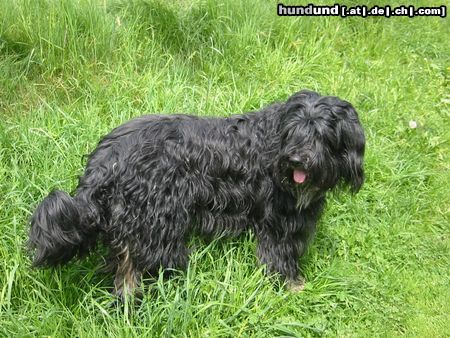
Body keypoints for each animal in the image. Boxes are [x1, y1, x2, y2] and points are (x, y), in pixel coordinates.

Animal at [29, 90, 366, 298]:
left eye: (321, 134)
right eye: (294, 132)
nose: (296, 160)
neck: (273, 143)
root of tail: (105, 158)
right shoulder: (280, 220)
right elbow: (281, 254)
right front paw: (293, 287)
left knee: (124, 266)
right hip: (158, 221)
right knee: (141, 265)